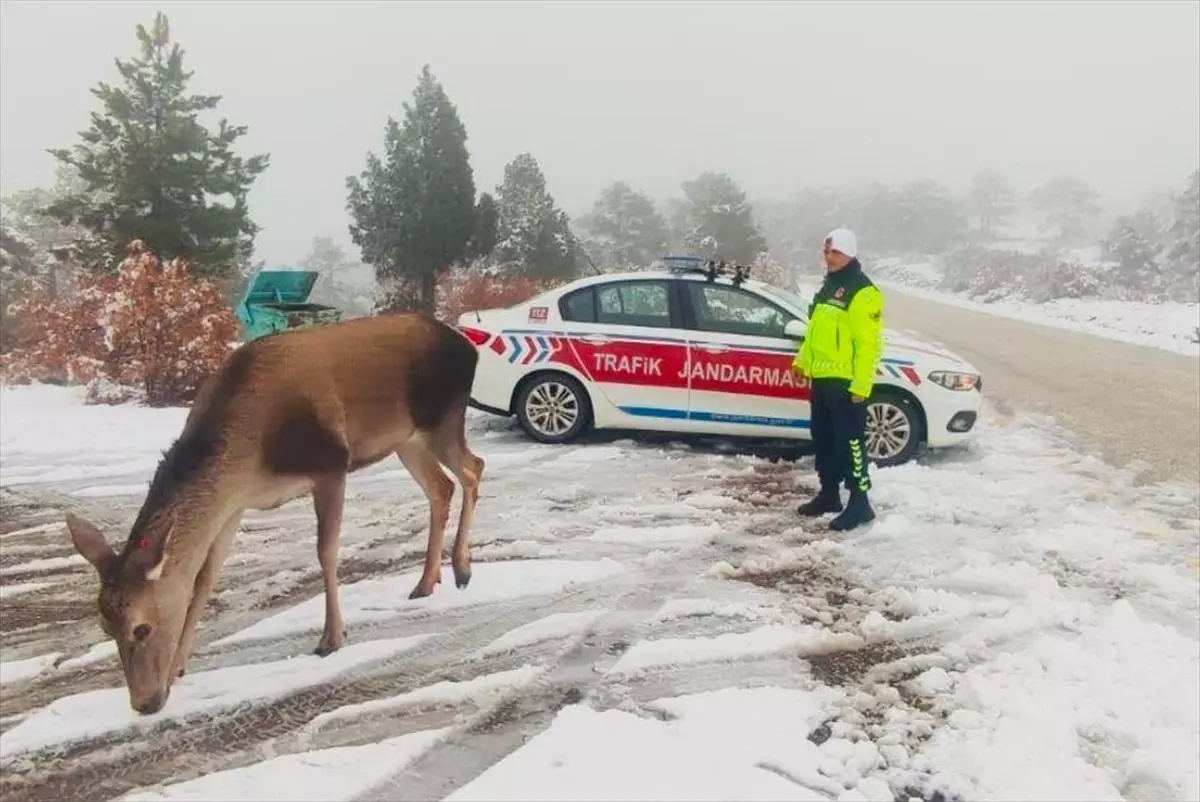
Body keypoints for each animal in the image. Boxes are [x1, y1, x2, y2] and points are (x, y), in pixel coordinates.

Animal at [63, 312, 484, 715]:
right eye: (105, 627)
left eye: (142, 629)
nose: (144, 704)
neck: (250, 456)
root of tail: (467, 346)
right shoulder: (234, 505)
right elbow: (204, 580)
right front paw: (179, 667)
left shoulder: (331, 464)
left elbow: (325, 549)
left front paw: (331, 637)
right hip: (406, 439)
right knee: (442, 488)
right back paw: (427, 581)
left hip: (443, 419)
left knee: (472, 468)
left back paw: (462, 569)